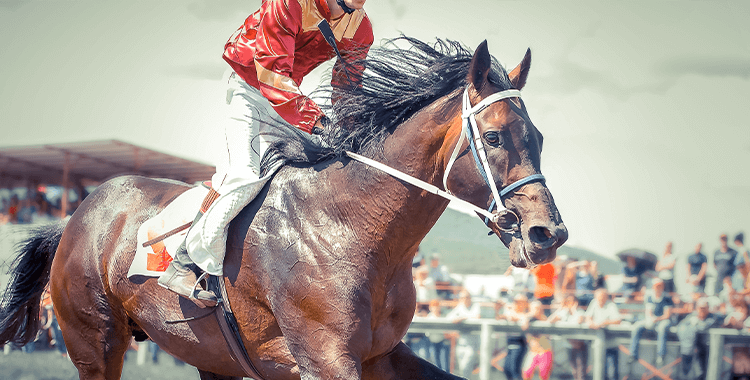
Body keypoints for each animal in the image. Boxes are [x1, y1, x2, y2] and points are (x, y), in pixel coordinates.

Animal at [0, 36, 564, 380]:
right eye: (493, 137)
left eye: (538, 138)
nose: (547, 234)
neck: (351, 228)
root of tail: (76, 216)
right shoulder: (324, 358)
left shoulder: (382, 354)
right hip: (94, 341)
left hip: (207, 352)